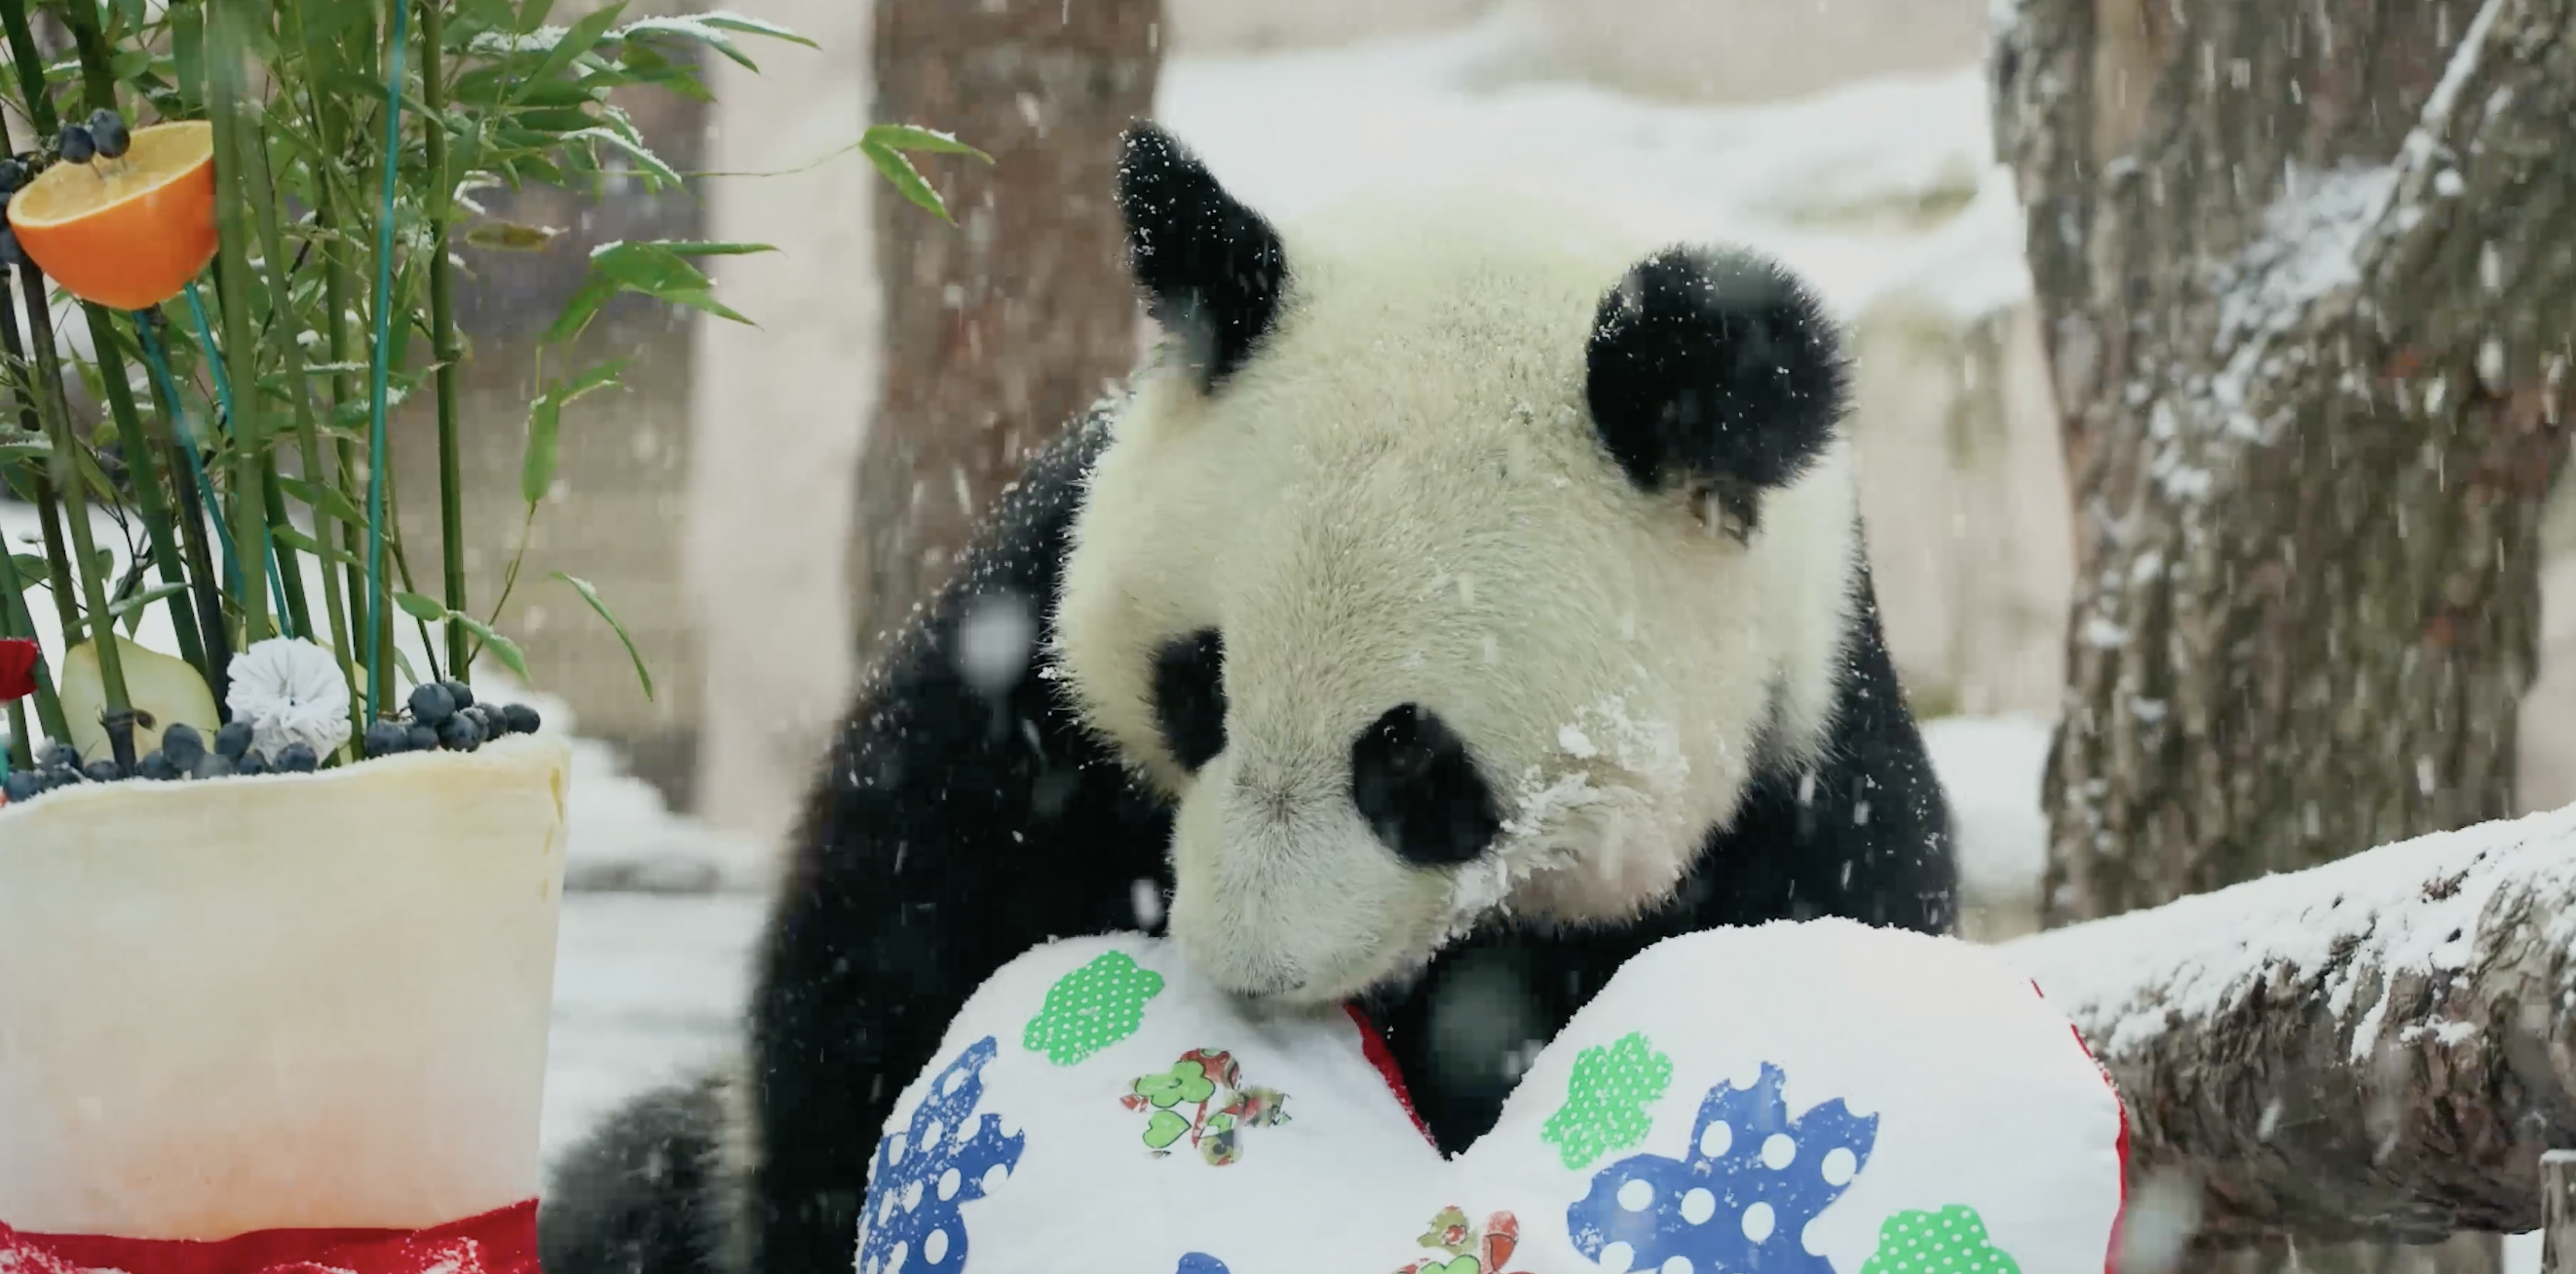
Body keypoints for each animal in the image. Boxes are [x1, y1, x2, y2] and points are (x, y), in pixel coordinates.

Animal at [543, 119, 1947, 1274]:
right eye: (1196, 689)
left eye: (1415, 766)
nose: (1248, 969)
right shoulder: (1018, 685)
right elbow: (880, 969)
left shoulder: (1795, 797)